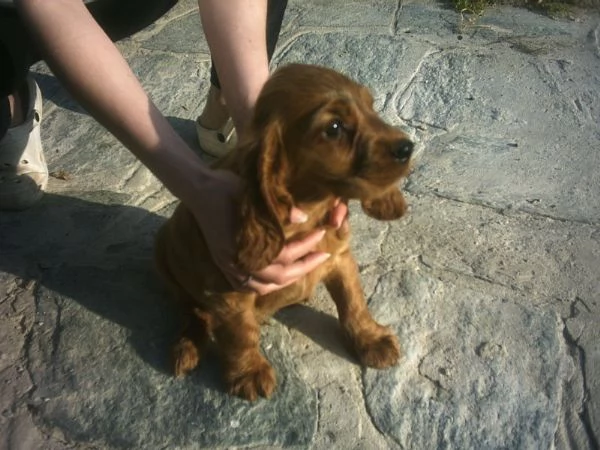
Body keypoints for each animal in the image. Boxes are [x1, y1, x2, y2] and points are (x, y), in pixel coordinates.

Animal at [156, 64, 412, 400]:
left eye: (371, 107)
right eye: (334, 127)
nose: (408, 148)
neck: (312, 209)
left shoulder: (339, 257)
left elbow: (353, 301)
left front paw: (371, 339)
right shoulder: (228, 288)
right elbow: (239, 332)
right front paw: (249, 372)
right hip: (166, 264)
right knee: (193, 313)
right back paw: (187, 347)